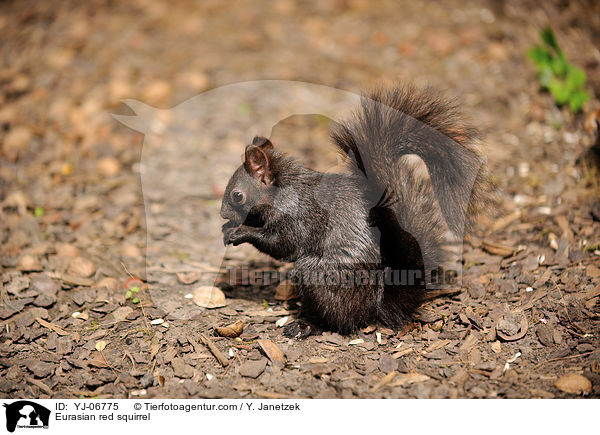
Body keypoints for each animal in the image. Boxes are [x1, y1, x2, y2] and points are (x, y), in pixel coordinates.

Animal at [220, 84, 492, 338]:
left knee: (340, 321)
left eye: (237, 195)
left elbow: (282, 245)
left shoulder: (297, 216)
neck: (284, 189)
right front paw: (228, 228)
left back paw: (306, 325)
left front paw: (240, 232)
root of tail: (376, 305)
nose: (223, 214)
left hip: (320, 275)